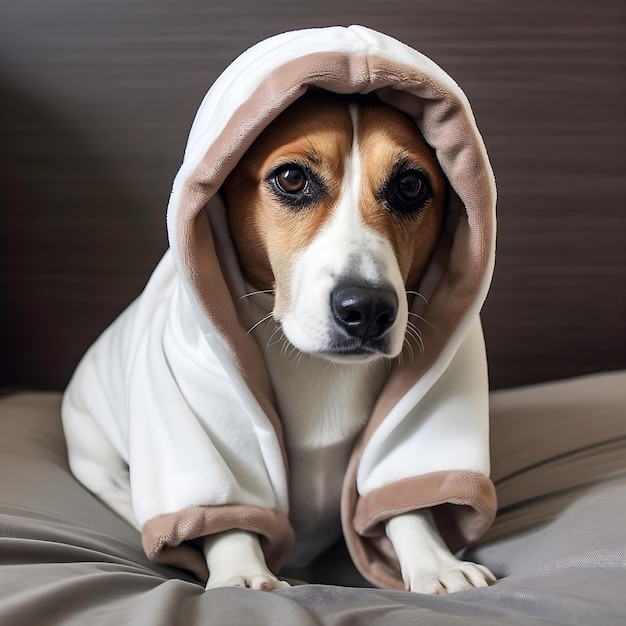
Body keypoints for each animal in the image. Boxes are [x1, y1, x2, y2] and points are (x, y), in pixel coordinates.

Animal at [202, 91, 494, 588]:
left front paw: (436, 563)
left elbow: (405, 498)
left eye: (410, 186)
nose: (368, 309)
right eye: (292, 178)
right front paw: (241, 572)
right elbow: (231, 502)